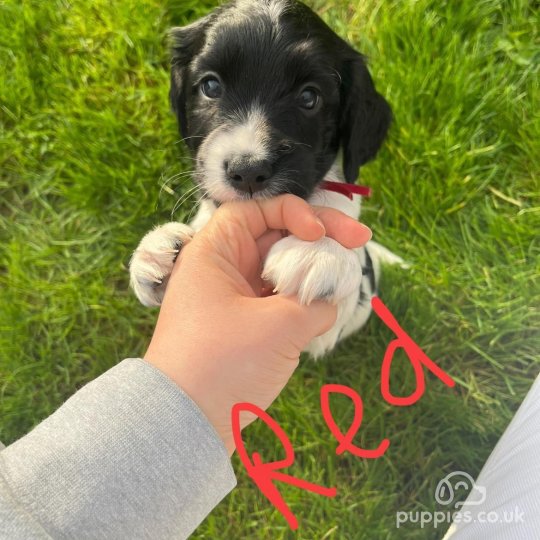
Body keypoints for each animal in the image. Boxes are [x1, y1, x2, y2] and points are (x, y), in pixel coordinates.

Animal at [129, 0, 402, 358]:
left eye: (309, 97)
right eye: (211, 86)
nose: (247, 170)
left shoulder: (326, 333)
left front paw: (321, 250)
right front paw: (159, 247)